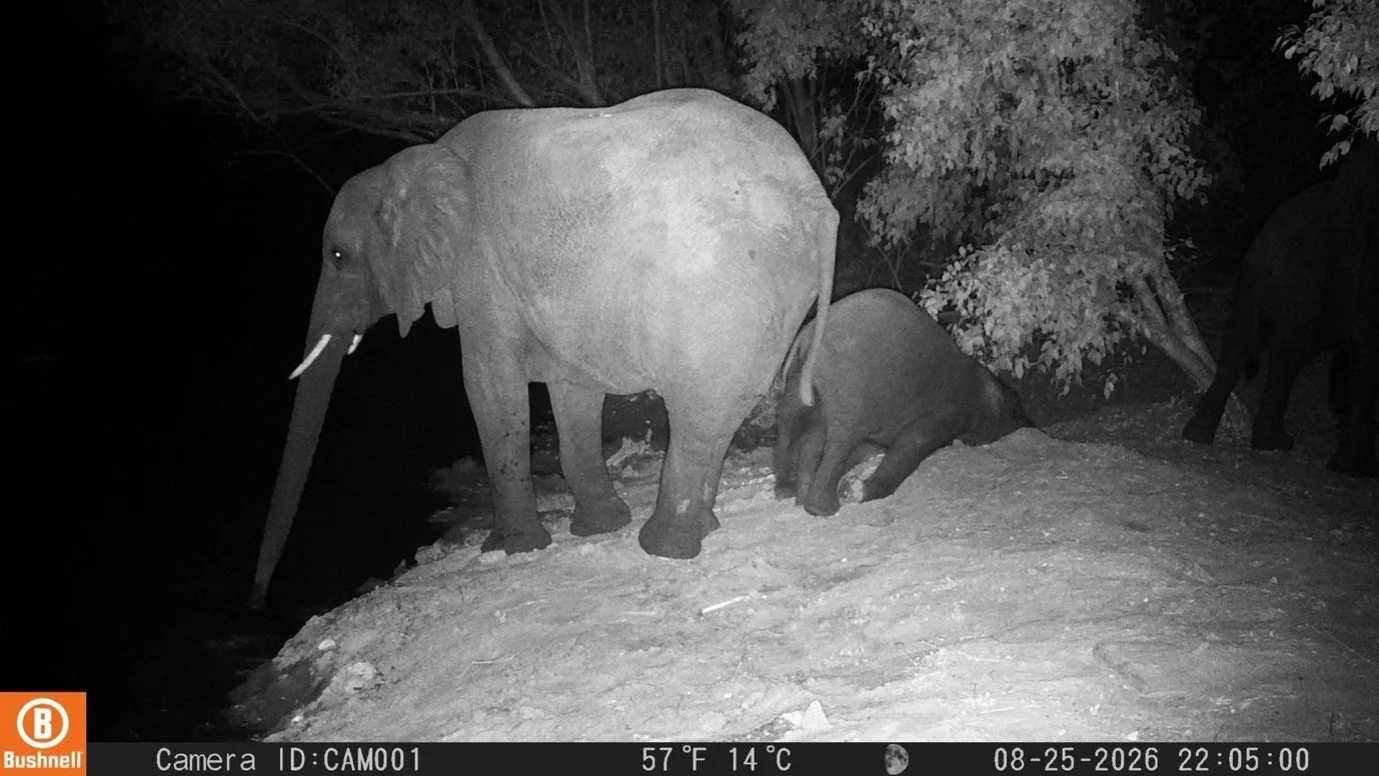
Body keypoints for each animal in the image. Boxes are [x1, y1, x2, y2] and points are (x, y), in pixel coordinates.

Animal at [249, 89, 838, 608]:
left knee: (697, 411)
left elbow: (489, 385)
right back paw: (701, 528)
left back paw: (664, 548)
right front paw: (598, 528)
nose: (257, 602)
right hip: (771, 296)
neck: (411, 164)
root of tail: (816, 201)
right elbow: (571, 389)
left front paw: (512, 549)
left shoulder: (478, 266)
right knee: (725, 410)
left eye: (338, 255)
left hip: (718, 291)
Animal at [773, 288, 1031, 517]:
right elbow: (914, 443)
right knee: (840, 439)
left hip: (797, 381)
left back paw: (790, 493)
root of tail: (805, 340)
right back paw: (823, 508)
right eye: (1015, 410)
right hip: (850, 389)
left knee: (791, 425)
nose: (1029, 423)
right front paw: (854, 491)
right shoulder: (947, 408)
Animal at [1182, 138, 1378, 477]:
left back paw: (1200, 433)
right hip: (1300, 288)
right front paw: (1356, 465)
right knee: (1287, 356)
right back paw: (1276, 441)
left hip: (1252, 283)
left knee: (1241, 344)